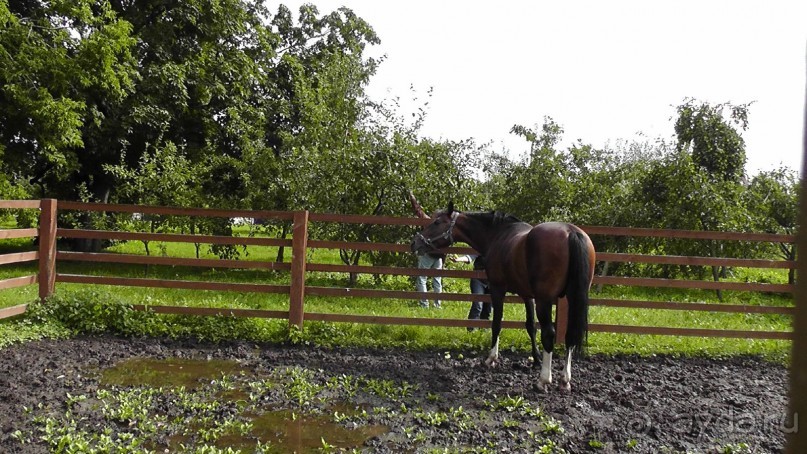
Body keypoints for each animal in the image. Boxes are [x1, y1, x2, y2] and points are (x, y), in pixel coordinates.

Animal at [410, 202, 592, 390]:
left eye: (437, 222)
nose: (415, 243)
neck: (497, 234)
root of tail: (571, 232)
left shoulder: (497, 290)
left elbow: (496, 323)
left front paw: (491, 358)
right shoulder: (527, 295)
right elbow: (530, 326)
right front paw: (535, 359)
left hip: (545, 300)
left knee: (549, 334)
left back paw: (543, 380)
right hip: (572, 297)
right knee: (570, 335)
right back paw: (565, 379)